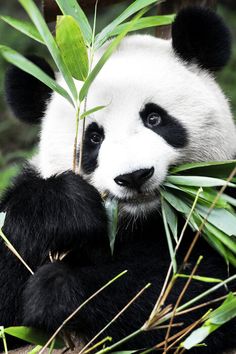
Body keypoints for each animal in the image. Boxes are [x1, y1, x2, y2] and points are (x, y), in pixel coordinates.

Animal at [0, 6, 236, 354]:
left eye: (154, 118)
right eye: (93, 137)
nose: (134, 176)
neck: (140, 221)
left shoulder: (221, 204)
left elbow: (197, 290)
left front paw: (59, 289)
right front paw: (64, 208)